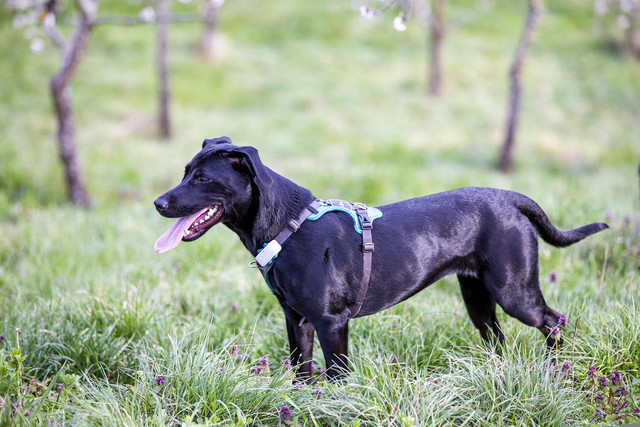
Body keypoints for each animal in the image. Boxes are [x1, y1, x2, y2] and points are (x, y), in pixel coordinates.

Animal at [154, 137, 604, 382]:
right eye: (185, 171)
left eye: (202, 178)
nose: (158, 203)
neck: (288, 226)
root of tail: (511, 198)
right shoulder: (296, 320)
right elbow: (302, 373)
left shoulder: (331, 323)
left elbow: (337, 377)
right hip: (478, 297)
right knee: (498, 339)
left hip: (515, 291)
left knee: (554, 321)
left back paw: (558, 368)